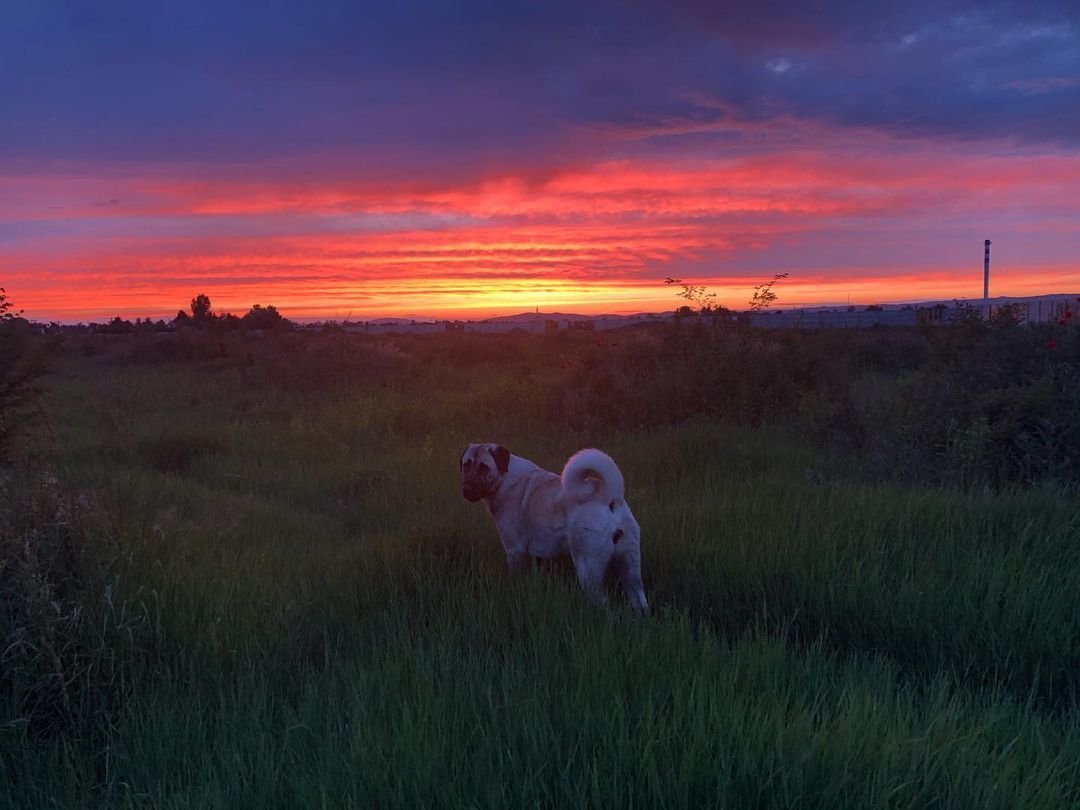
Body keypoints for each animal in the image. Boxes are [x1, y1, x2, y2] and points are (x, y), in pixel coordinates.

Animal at [457, 444, 643, 613]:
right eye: (466, 464)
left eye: (484, 467)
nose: (466, 490)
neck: (504, 478)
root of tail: (609, 496)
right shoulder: (539, 556)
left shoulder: (515, 551)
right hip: (630, 570)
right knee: (640, 601)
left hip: (588, 569)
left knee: (603, 604)